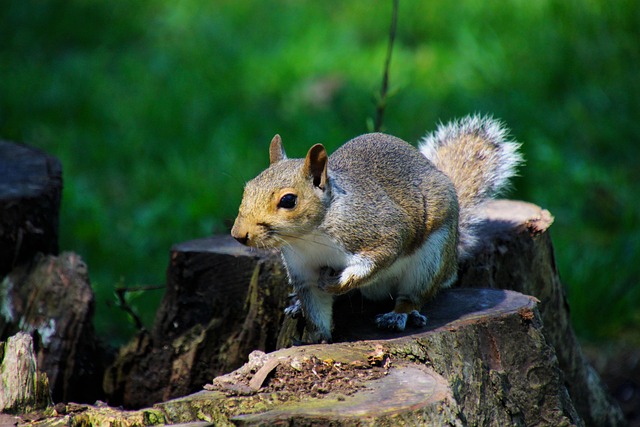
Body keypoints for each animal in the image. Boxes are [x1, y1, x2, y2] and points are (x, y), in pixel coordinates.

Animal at [230, 116, 520, 344]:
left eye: (289, 200)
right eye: (247, 189)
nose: (238, 235)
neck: (310, 237)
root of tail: (452, 260)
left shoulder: (381, 231)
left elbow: (377, 258)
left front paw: (339, 283)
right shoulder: (304, 272)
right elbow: (315, 307)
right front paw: (315, 338)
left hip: (431, 260)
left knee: (414, 294)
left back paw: (400, 314)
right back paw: (297, 307)